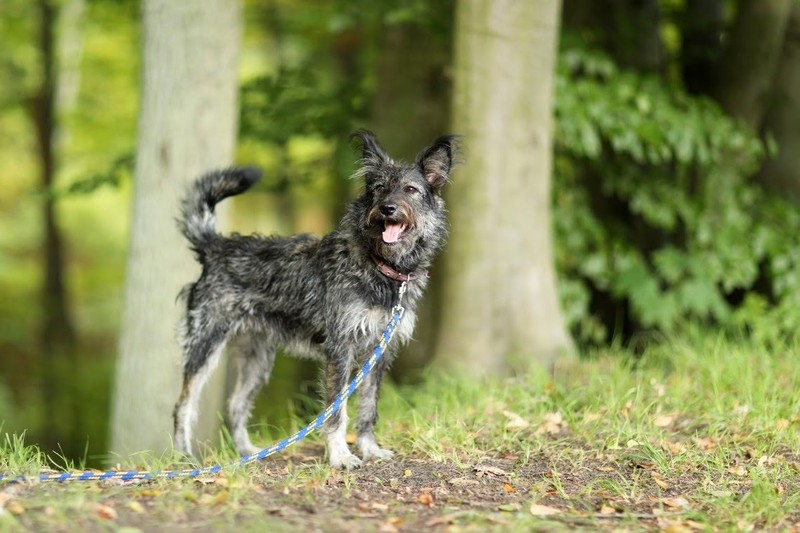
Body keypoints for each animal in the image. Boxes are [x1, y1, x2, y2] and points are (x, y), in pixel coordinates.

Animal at [172, 131, 460, 468]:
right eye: (378, 188)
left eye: (411, 190)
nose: (387, 208)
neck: (381, 268)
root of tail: (215, 245)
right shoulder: (340, 349)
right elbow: (336, 411)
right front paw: (341, 455)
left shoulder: (378, 354)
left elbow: (368, 408)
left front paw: (369, 448)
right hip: (205, 344)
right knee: (184, 404)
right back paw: (183, 456)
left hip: (257, 358)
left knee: (236, 404)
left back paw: (247, 454)